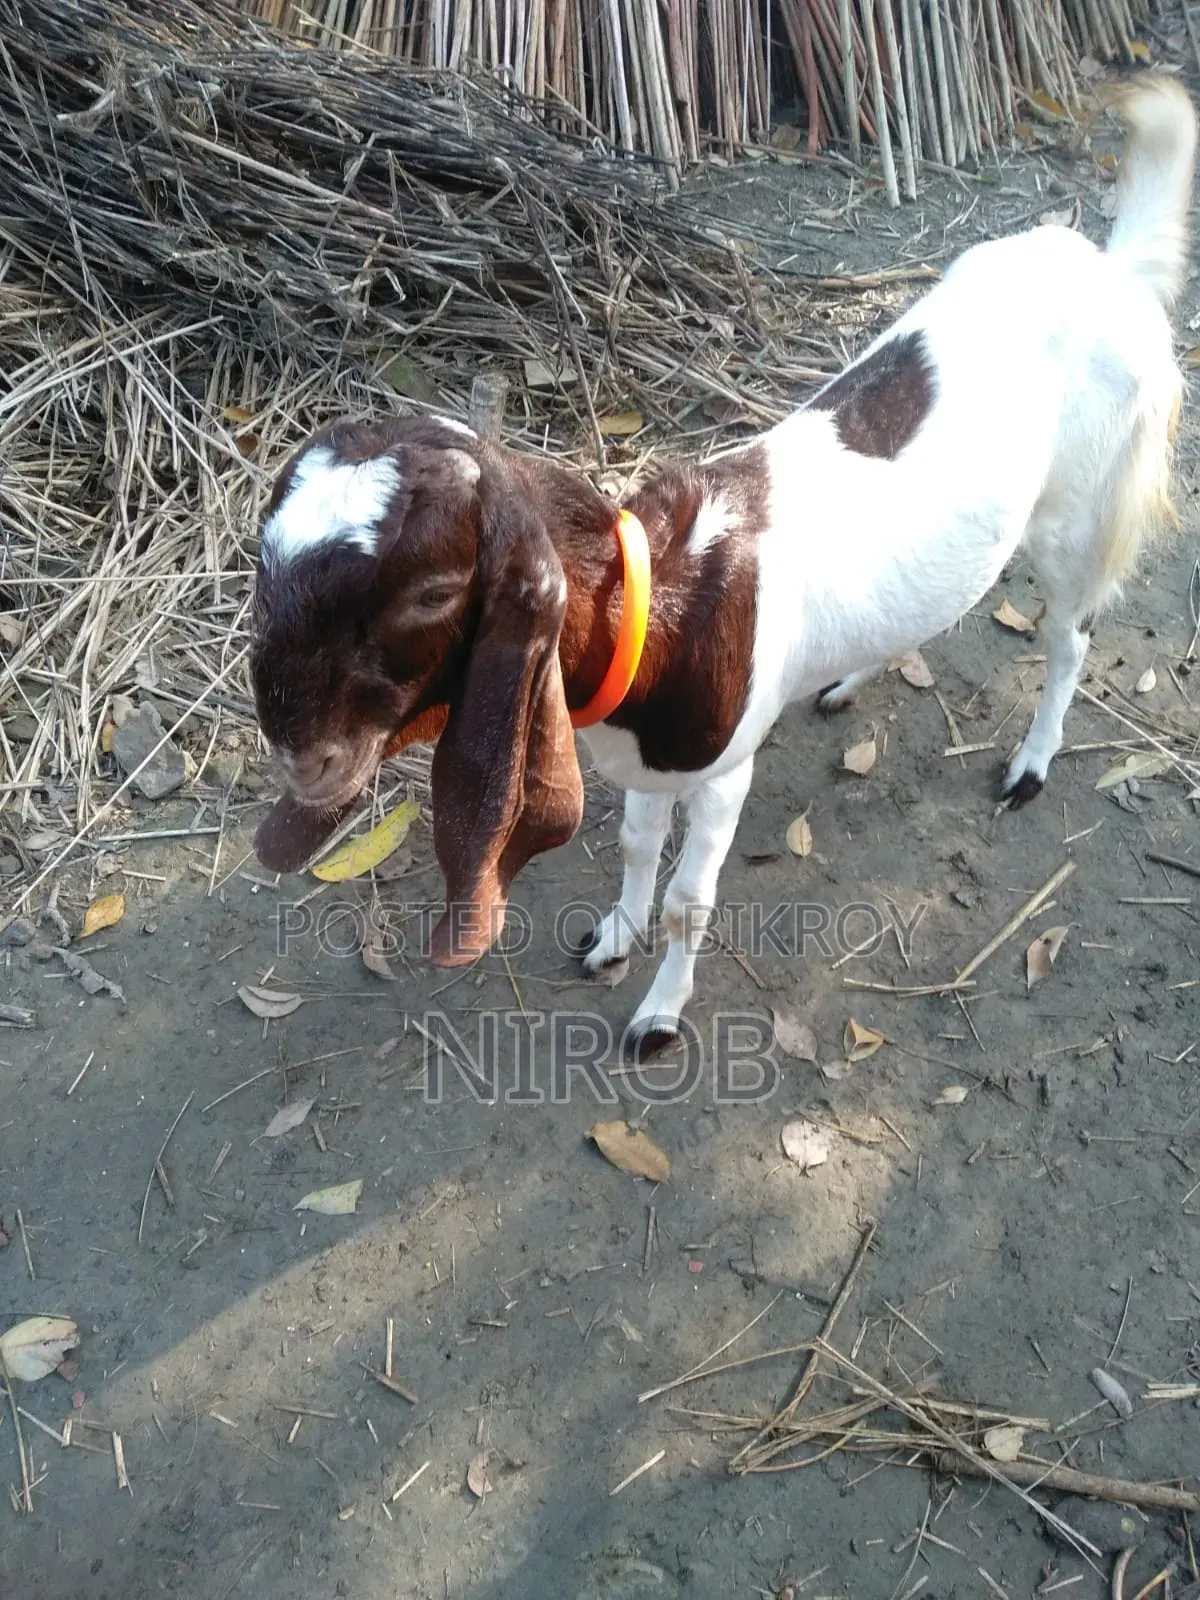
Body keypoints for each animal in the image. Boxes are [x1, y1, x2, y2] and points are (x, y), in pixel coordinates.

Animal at [249, 75, 1196, 1058]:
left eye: (434, 590)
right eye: (263, 558)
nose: (299, 754)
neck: (667, 605)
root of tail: (1112, 269)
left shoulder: (722, 773)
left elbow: (689, 900)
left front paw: (660, 1015)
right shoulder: (644, 760)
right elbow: (636, 850)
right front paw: (612, 937)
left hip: (1079, 509)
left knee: (1071, 638)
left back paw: (1031, 764)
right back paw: (850, 678)